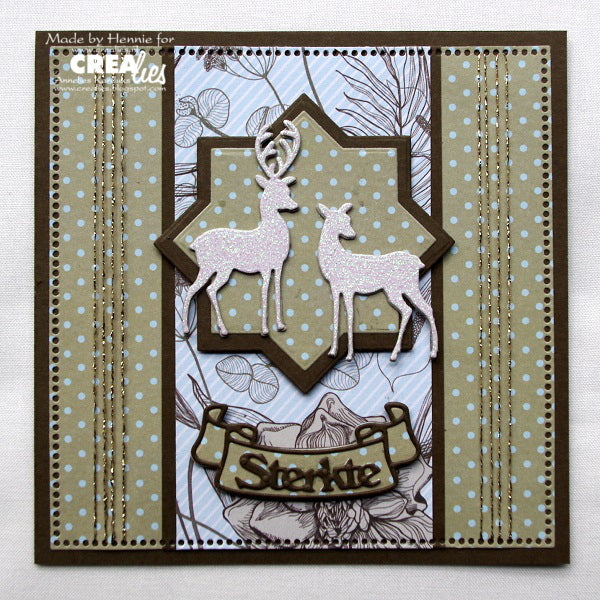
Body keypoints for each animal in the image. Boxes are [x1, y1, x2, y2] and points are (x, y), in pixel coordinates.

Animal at [182, 120, 301, 337]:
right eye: (272, 192)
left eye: (288, 190)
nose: (294, 205)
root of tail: (194, 244)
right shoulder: (264, 266)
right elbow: (264, 290)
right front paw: (264, 329)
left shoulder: (278, 265)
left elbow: (277, 289)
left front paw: (280, 325)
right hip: (211, 266)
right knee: (197, 289)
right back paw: (191, 329)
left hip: (221, 269)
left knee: (208, 289)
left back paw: (220, 328)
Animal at [316, 203, 438, 362]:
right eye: (339, 221)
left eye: (348, 219)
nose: (352, 234)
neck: (336, 258)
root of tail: (417, 263)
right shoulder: (335, 288)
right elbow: (336, 314)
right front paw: (332, 351)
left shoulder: (349, 289)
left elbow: (350, 315)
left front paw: (349, 354)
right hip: (401, 289)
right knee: (416, 309)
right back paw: (412, 352)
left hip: (403, 288)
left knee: (417, 309)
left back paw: (421, 352)